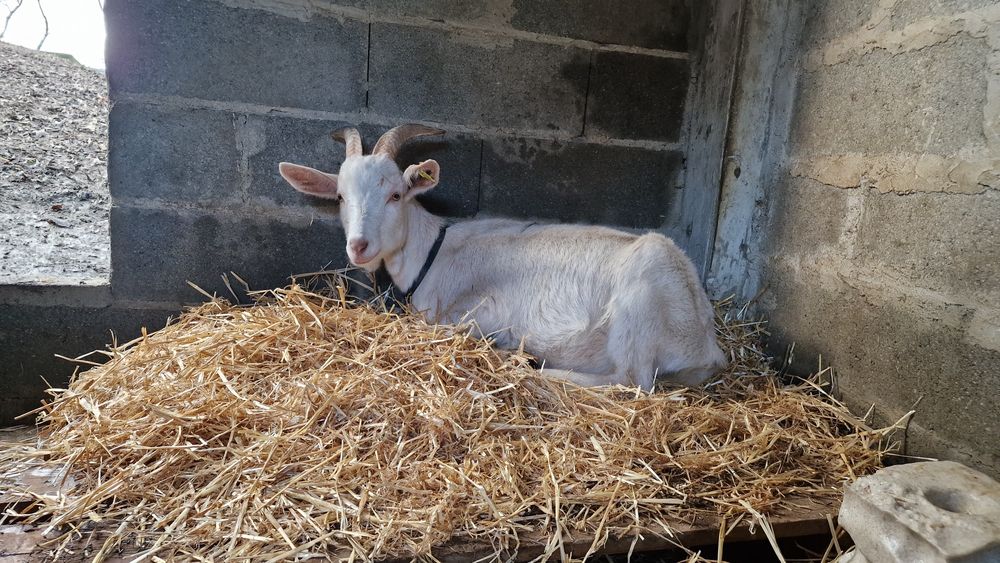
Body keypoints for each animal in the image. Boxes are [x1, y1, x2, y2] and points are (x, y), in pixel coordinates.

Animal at [278, 124, 726, 390]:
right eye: (340, 197)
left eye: (395, 194)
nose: (359, 246)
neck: (433, 250)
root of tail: (706, 343)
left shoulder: (479, 313)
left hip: (638, 306)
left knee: (629, 380)